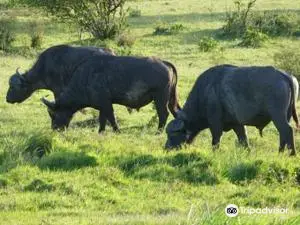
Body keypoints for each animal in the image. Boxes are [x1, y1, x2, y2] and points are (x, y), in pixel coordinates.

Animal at [40, 54, 179, 132]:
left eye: (53, 114)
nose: (54, 129)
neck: (86, 79)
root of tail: (164, 63)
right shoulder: (102, 105)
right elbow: (102, 120)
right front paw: (100, 132)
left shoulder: (106, 104)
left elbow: (111, 118)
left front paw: (117, 131)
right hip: (172, 98)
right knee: (176, 111)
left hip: (160, 98)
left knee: (164, 114)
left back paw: (159, 131)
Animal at [165, 65, 298, 156]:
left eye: (172, 134)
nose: (166, 148)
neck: (205, 92)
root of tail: (284, 75)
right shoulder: (237, 124)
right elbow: (243, 139)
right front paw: (247, 152)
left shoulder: (215, 123)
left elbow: (215, 140)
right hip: (286, 116)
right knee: (283, 133)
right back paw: (280, 152)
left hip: (277, 115)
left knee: (287, 130)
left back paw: (291, 154)